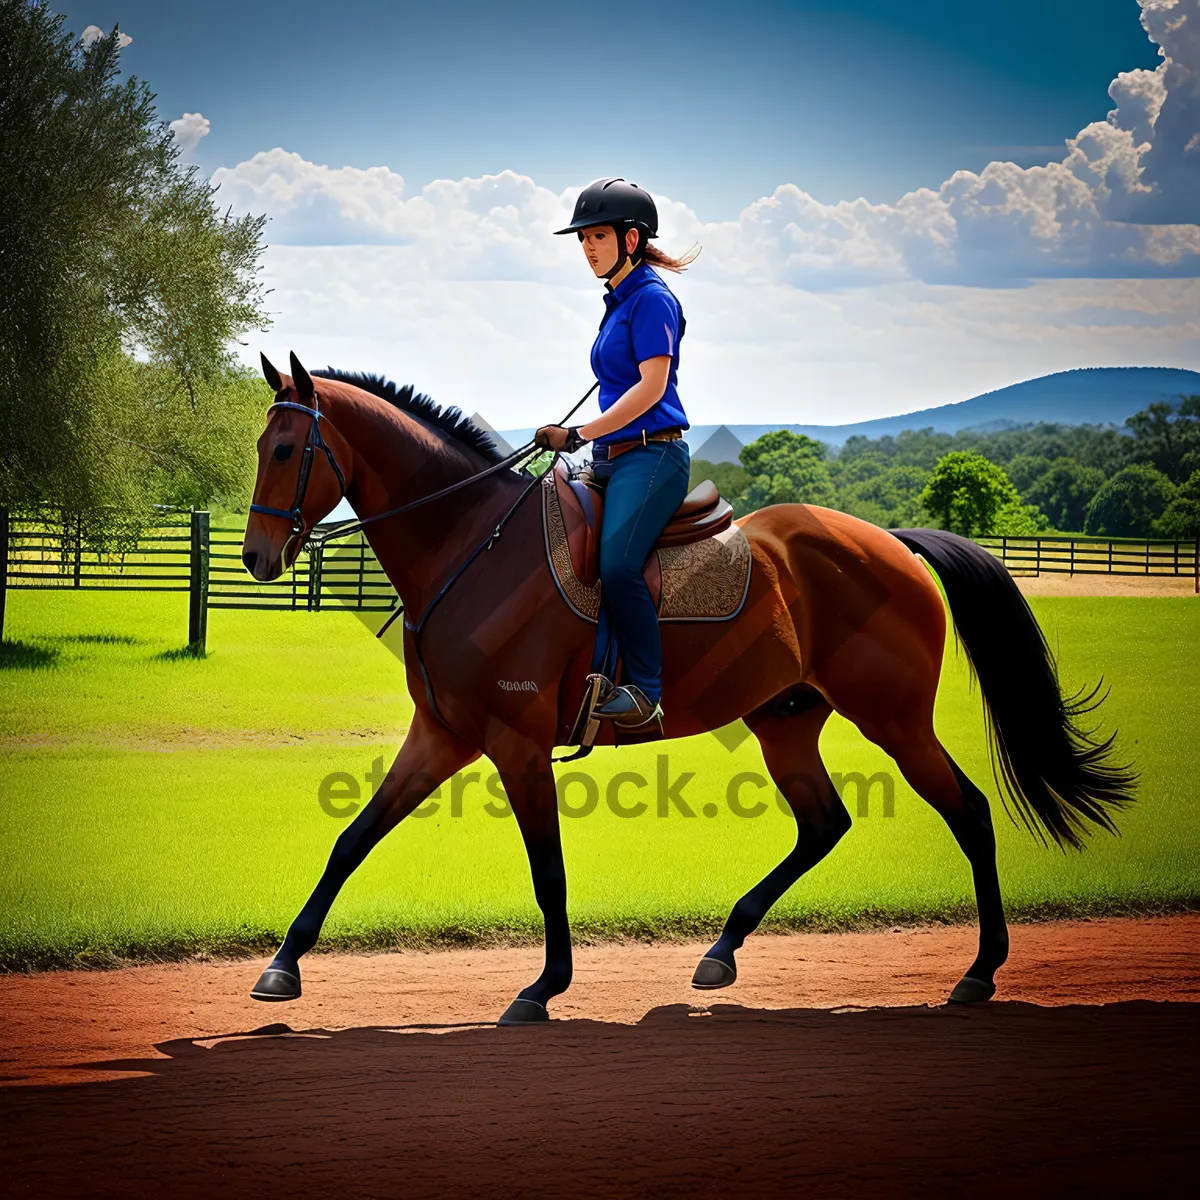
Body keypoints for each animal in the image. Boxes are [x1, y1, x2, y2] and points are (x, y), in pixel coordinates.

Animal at [241, 350, 1132, 1022]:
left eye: (286, 452)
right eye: (260, 447)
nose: (256, 558)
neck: (473, 544)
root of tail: (890, 541)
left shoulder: (516, 745)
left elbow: (547, 870)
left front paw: (544, 987)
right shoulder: (443, 735)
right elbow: (353, 839)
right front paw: (283, 965)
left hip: (896, 720)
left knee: (969, 813)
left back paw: (981, 970)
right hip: (786, 721)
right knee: (825, 824)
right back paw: (722, 951)